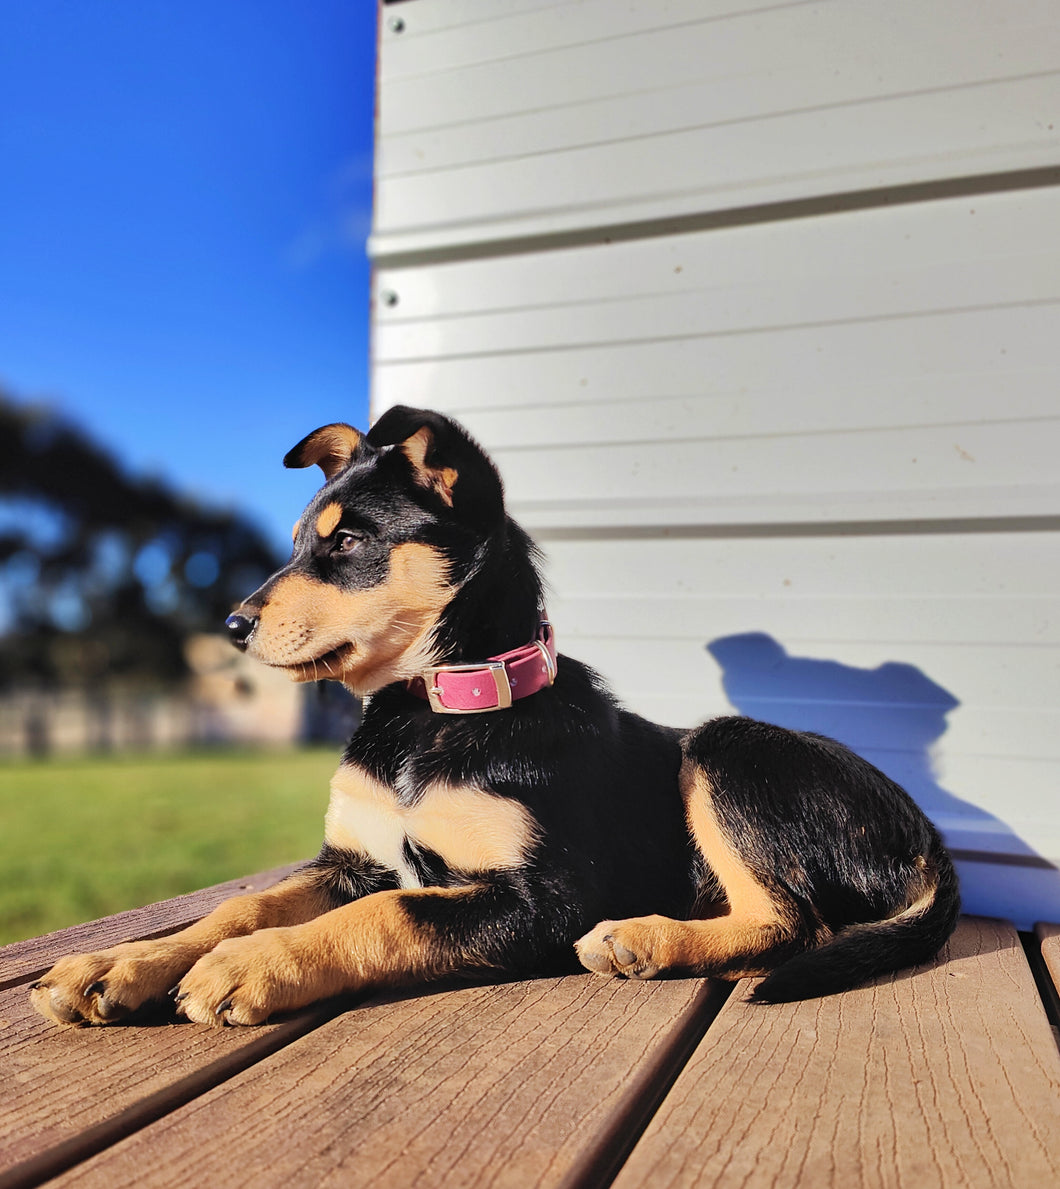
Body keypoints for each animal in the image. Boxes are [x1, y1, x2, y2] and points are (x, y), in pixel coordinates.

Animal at [31, 406, 960, 1022]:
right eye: (299, 543)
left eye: (346, 543)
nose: (229, 626)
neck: (432, 708)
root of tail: (929, 837)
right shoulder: (347, 859)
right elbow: (238, 907)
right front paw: (118, 962)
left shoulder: (540, 898)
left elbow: (387, 912)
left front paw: (252, 966)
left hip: (725, 745)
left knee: (790, 922)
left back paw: (645, 940)